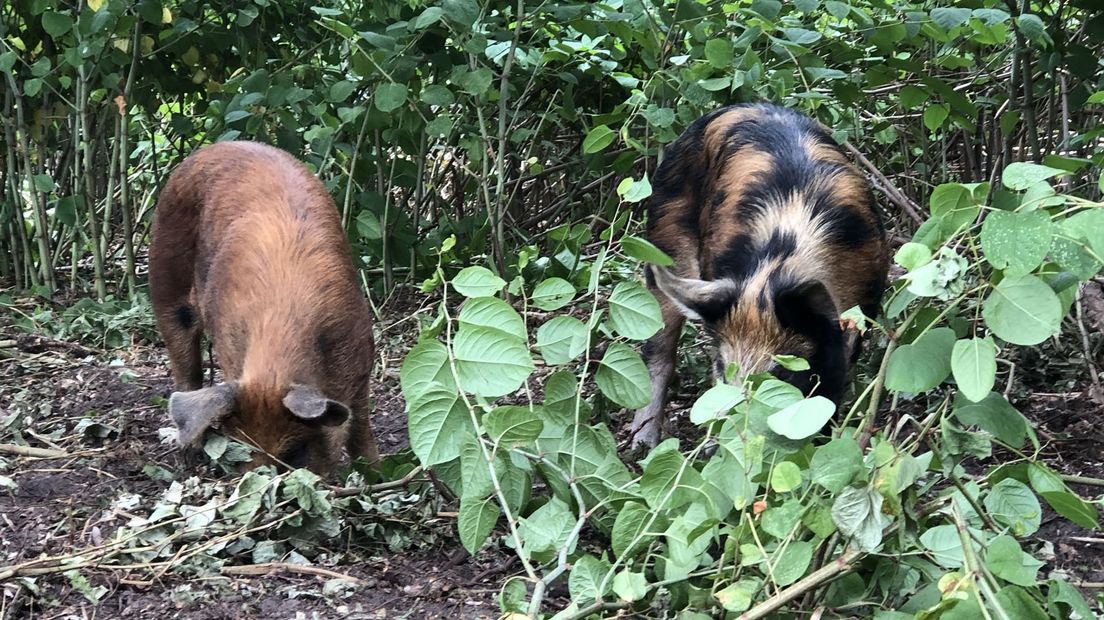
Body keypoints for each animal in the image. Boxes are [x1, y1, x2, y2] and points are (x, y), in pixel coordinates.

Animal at [147, 139, 379, 467]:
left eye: (295, 452)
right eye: (239, 449)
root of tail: (212, 148)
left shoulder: (361, 361)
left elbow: (360, 428)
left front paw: (378, 470)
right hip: (164, 275)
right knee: (184, 364)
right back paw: (190, 452)